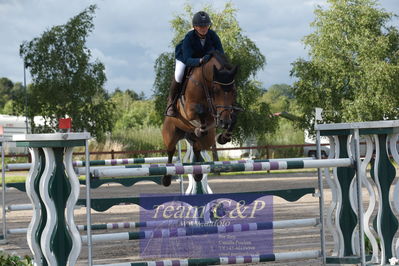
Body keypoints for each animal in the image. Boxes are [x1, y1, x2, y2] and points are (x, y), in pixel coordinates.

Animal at [162, 50, 241, 187]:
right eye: (216, 90)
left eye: (233, 90)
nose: (224, 122)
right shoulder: (189, 110)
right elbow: (200, 111)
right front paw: (201, 129)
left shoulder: (222, 111)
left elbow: (234, 117)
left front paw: (223, 137)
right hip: (171, 135)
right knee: (171, 151)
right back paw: (166, 179)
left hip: (205, 140)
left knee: (197, 149)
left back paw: (198, 173)